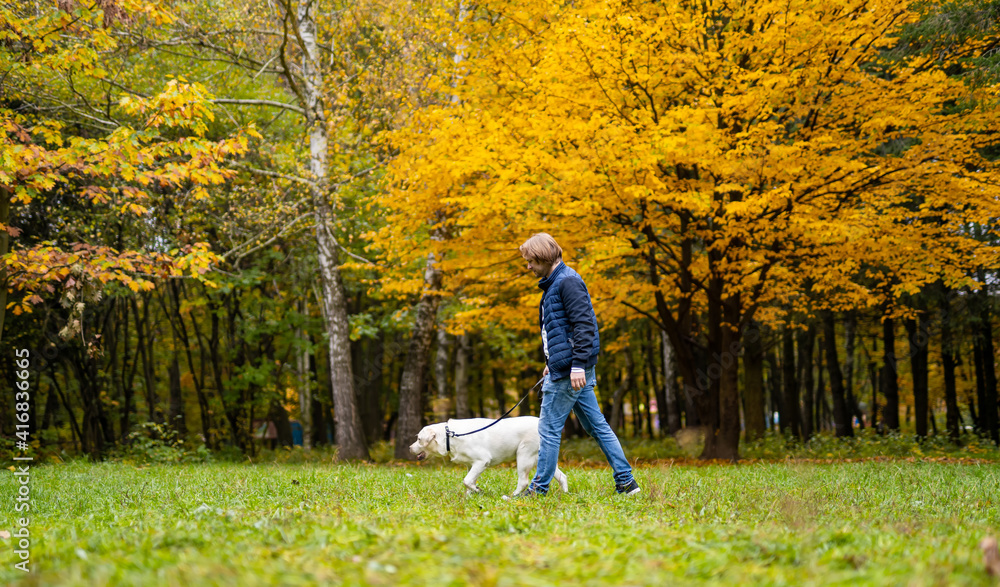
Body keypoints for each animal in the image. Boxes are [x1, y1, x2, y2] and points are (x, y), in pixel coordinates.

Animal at [408, 418, 572, 496]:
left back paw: (513, 496)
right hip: (542, 458)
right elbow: (469, 481)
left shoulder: (482, 461)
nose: (410, 448)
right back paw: (565, 494)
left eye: (419, 439)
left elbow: (466, 480)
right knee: (561, 476)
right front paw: (471, 494)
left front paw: (477, 491)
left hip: (523, 456)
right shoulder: (471, 465)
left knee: (523, 481)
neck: (450, 436)